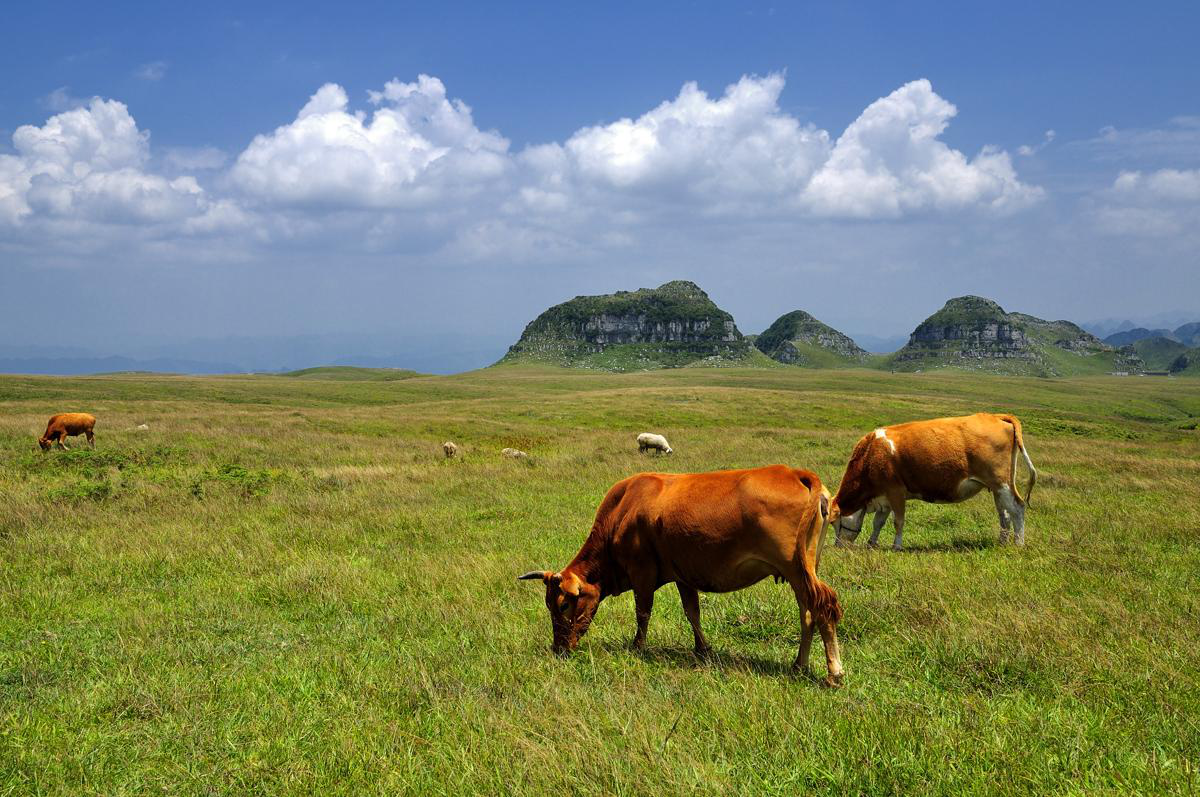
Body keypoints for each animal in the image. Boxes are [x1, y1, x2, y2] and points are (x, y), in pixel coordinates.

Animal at [520, 468, 849, 686]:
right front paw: (703, 649)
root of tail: (797, 473)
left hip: (795, 570)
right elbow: (692, 613)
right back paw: (799, 665)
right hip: (803, 571)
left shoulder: (642, 572)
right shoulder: (683, 575)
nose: (558, 648)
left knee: (823, 608)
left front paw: (637, 647)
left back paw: (833, 672)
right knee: (808, 614)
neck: (624, 508)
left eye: (563, 604)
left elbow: (643, 612)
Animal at [830, 410, 1036, 547]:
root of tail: (996, 416)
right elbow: (878, 522)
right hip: (998, 487)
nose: (838, 545)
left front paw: (897, 546)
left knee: (1017, 508)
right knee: (1004, 514)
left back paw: (1019, 543)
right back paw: (1002, 541)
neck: (872, 452)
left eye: (834, 522)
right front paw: (872, 543)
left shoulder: (895, 491)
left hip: (1001, 483)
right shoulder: (884, 496)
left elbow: (898, 521)